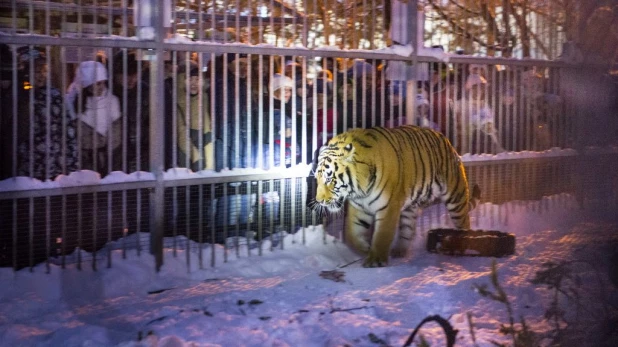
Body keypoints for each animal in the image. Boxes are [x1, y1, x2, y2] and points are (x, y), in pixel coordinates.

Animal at [310, 125, 478, 270]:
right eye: (317, 179)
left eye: (329, 179)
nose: (319, 201)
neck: (360, 191)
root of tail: (444, 138)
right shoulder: (358, 209)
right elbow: (351, 235)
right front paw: (365, 249)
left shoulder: (388, 207)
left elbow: (382, 235)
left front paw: (375, 259)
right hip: (410, 207)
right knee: (408, 229)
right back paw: (399, 250)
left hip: (456, 197)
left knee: (464, 223)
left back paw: (462, 245)